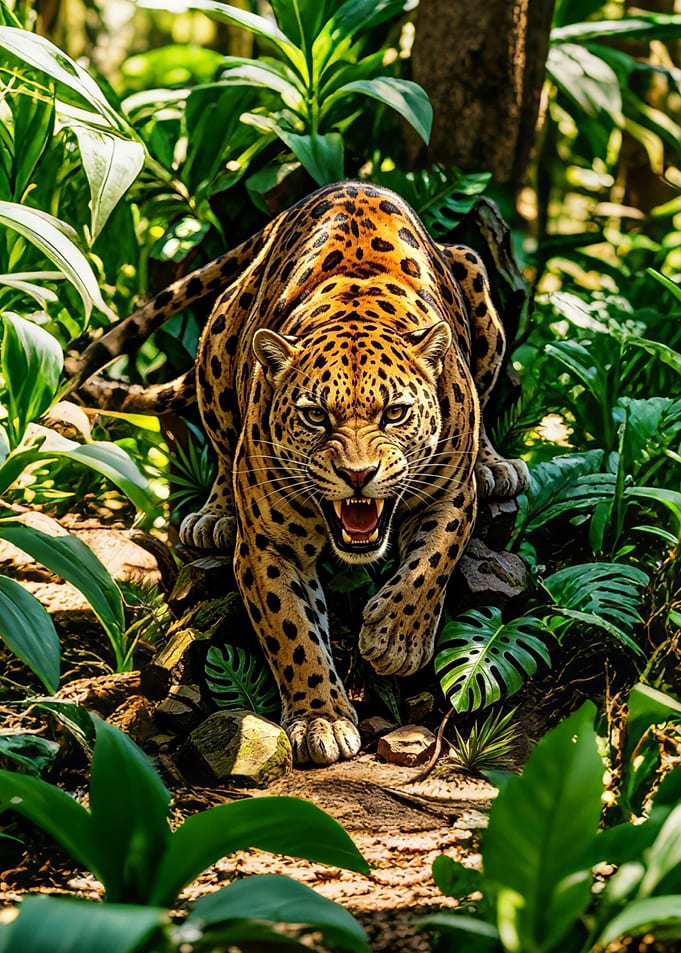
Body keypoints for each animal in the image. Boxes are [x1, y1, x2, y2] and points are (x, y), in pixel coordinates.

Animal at [68, 181, 528, 766]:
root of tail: (340, 185)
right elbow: (293, 630)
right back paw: (213, 515)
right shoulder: (268, 544)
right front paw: (321, 719)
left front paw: (395, 641)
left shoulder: (451, 496)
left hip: (472, 272)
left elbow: (432, 562)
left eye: (394, 413)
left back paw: (497, 465)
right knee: (220, 437)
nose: (359, 474)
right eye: (315, 416)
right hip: (220, 336)